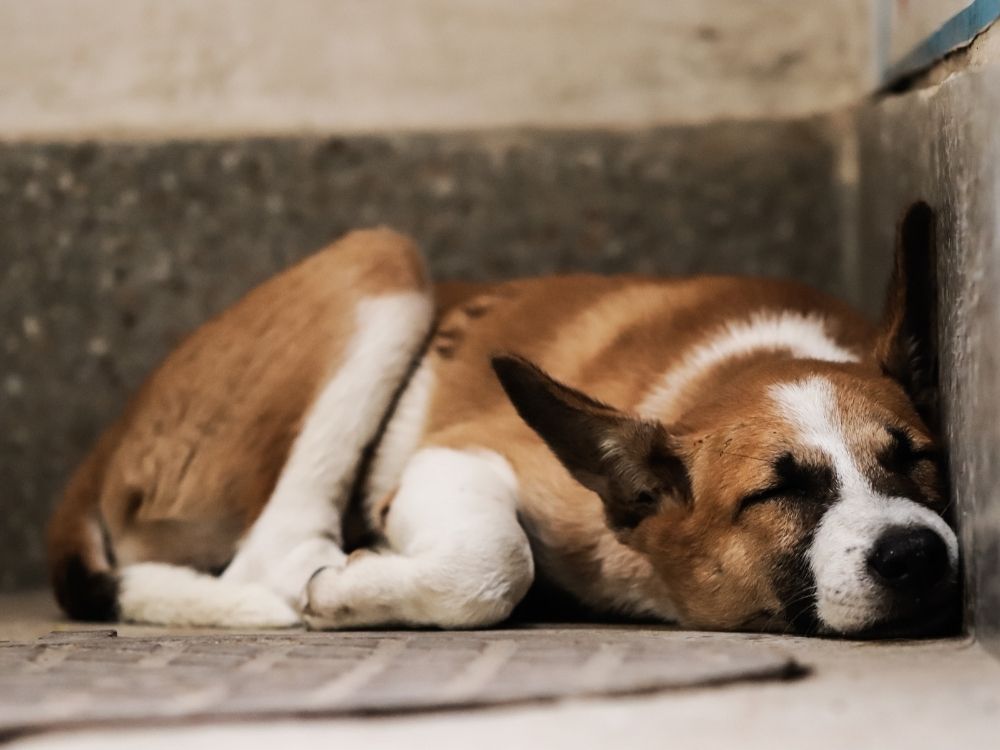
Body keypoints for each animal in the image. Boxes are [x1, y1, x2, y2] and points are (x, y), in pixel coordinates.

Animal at [48, 209, 960, 636]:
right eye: (775, 493)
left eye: (917, 457)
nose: (915, 555)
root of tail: (105, 444)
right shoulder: (463, 456)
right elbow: (496, 561)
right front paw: (355, 588)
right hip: (381, 260)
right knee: (271, 551)